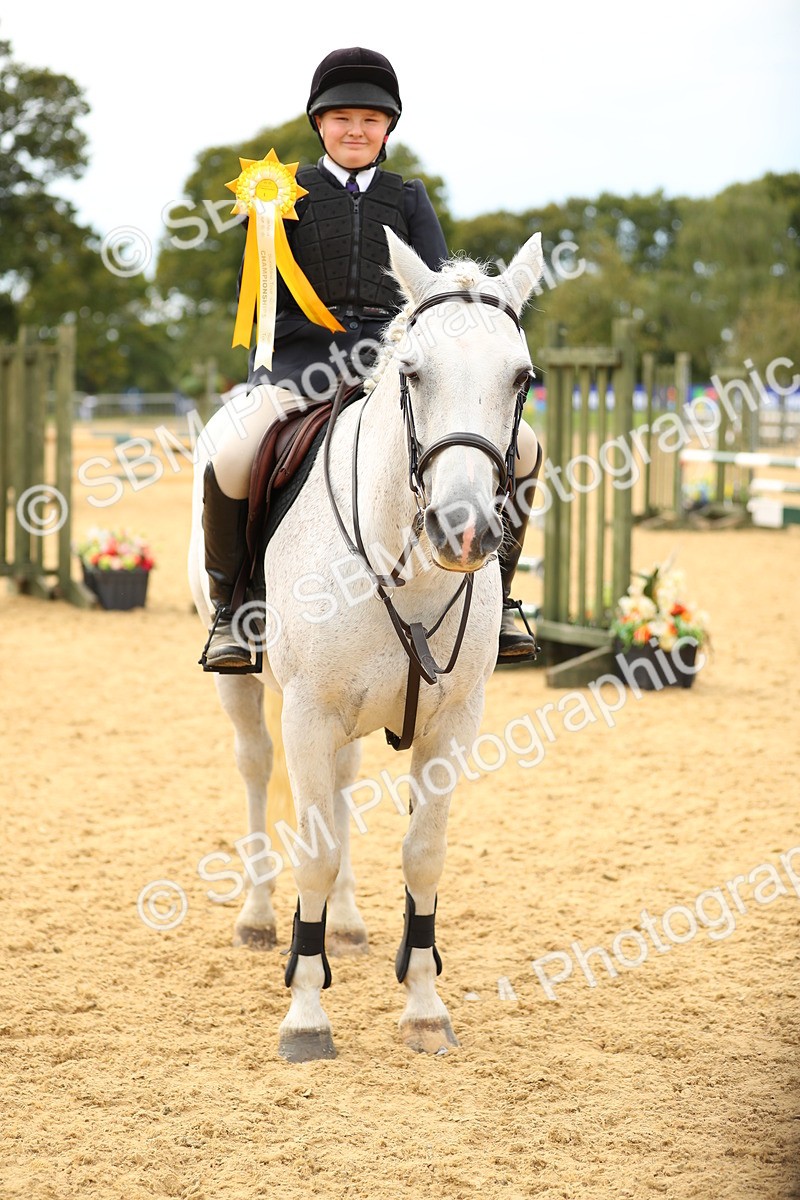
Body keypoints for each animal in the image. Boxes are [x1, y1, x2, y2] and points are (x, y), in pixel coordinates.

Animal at [188, 229, 544, 1061]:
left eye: (522, 378)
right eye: (413, 371)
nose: (463, 531)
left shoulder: (452, 721)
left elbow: (423, 853)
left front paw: (423, 1004)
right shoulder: (309, 712)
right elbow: (313, 851)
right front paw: (305, 1015)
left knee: (344, 789)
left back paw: (347, 925)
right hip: (244, 686)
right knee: (256, 771)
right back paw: (258, 917)